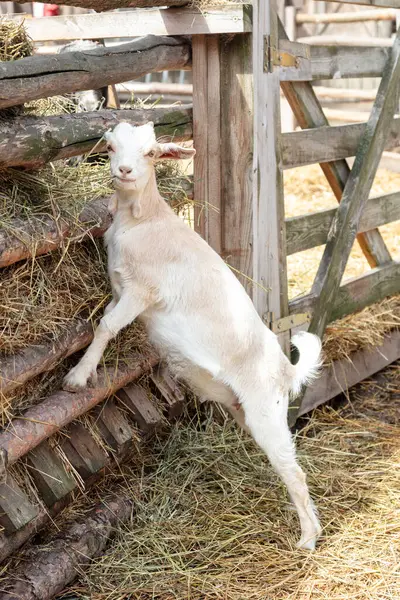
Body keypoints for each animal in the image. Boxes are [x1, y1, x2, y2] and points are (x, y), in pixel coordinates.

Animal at [64, 120, 324, 548]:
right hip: (246, 411)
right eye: (112, 146)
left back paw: (307, 539)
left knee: (296, 472)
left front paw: (78, 377)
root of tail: (287, 370)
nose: (124, 171)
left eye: (152, 152)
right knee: (286, 461)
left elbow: (108, 326)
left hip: (265, 407)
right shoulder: (120, 289)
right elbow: (103, 320)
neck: (144, 220)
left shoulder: (142, 291)